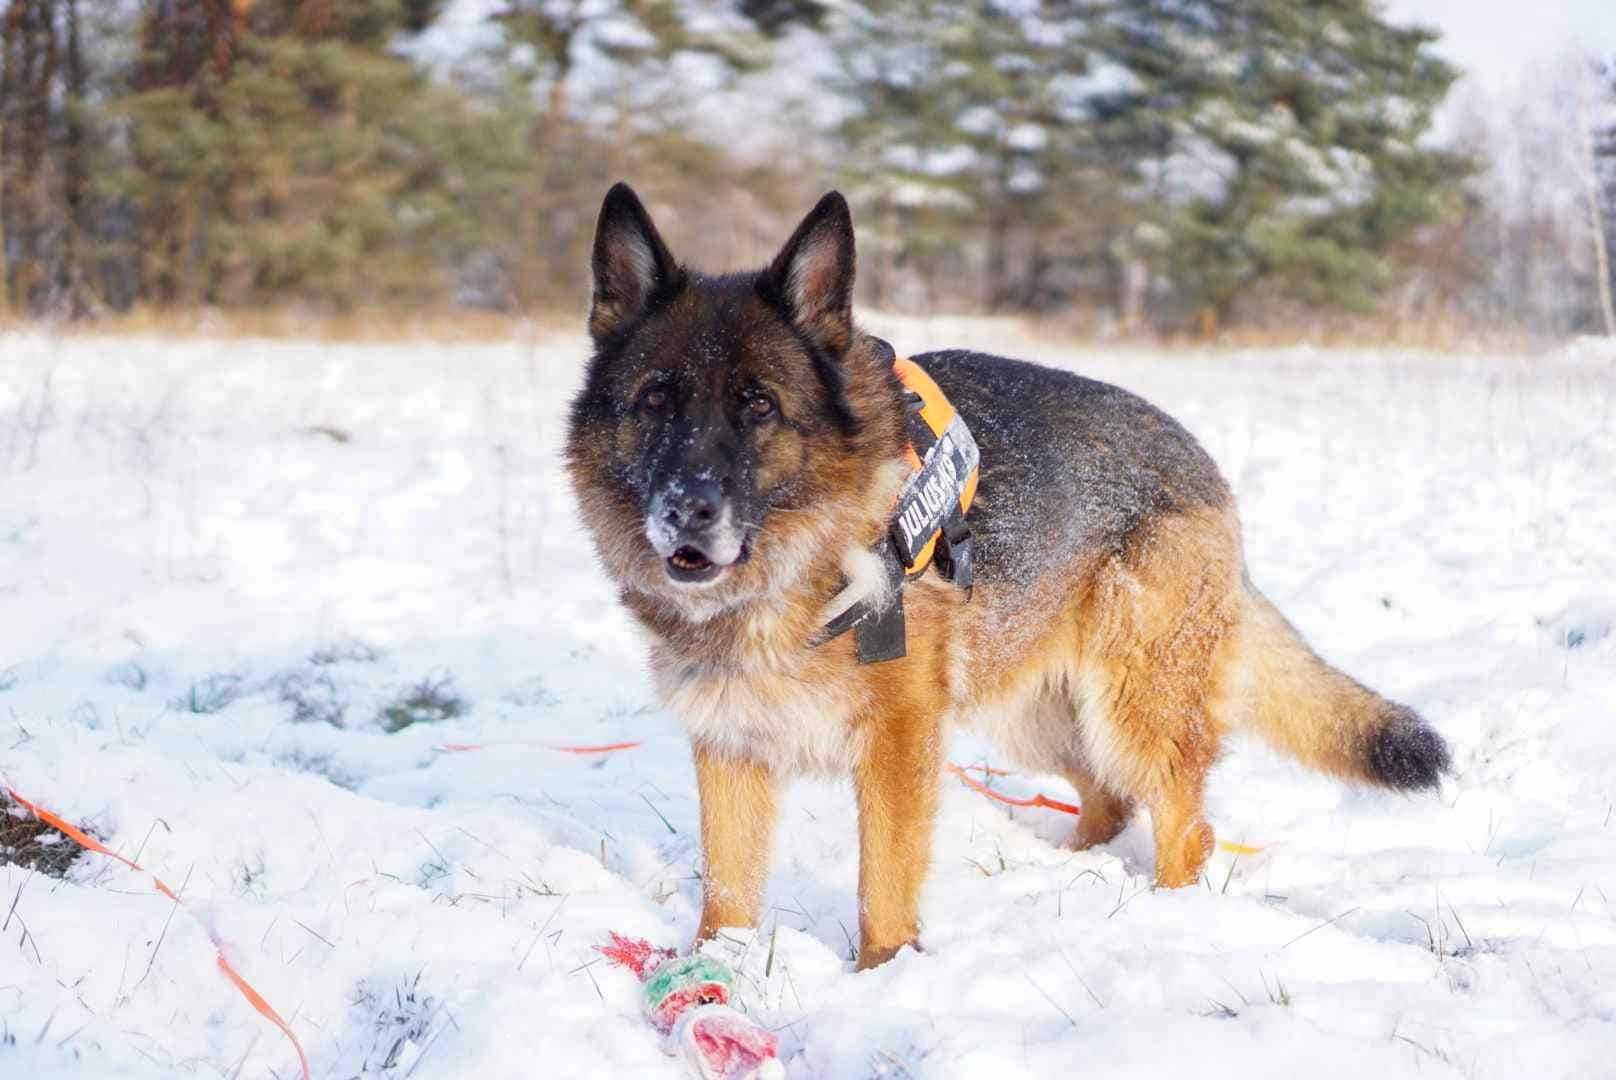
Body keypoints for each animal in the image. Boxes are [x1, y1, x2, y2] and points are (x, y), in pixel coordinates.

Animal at [568, 181, 1454, 963]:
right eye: (654, 401)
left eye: (759, 405)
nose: (686, 510)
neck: (807, 558)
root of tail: (1199, 456)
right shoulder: (732, 746)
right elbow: (727, 887)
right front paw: (717, 968)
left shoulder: (899, 743)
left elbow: (882, 882)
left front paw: (884, 975)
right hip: (1035, 710)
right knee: (1109, 797)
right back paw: (1068, 875)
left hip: (1131, 705)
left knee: (1184, 820)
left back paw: (1164, 915)